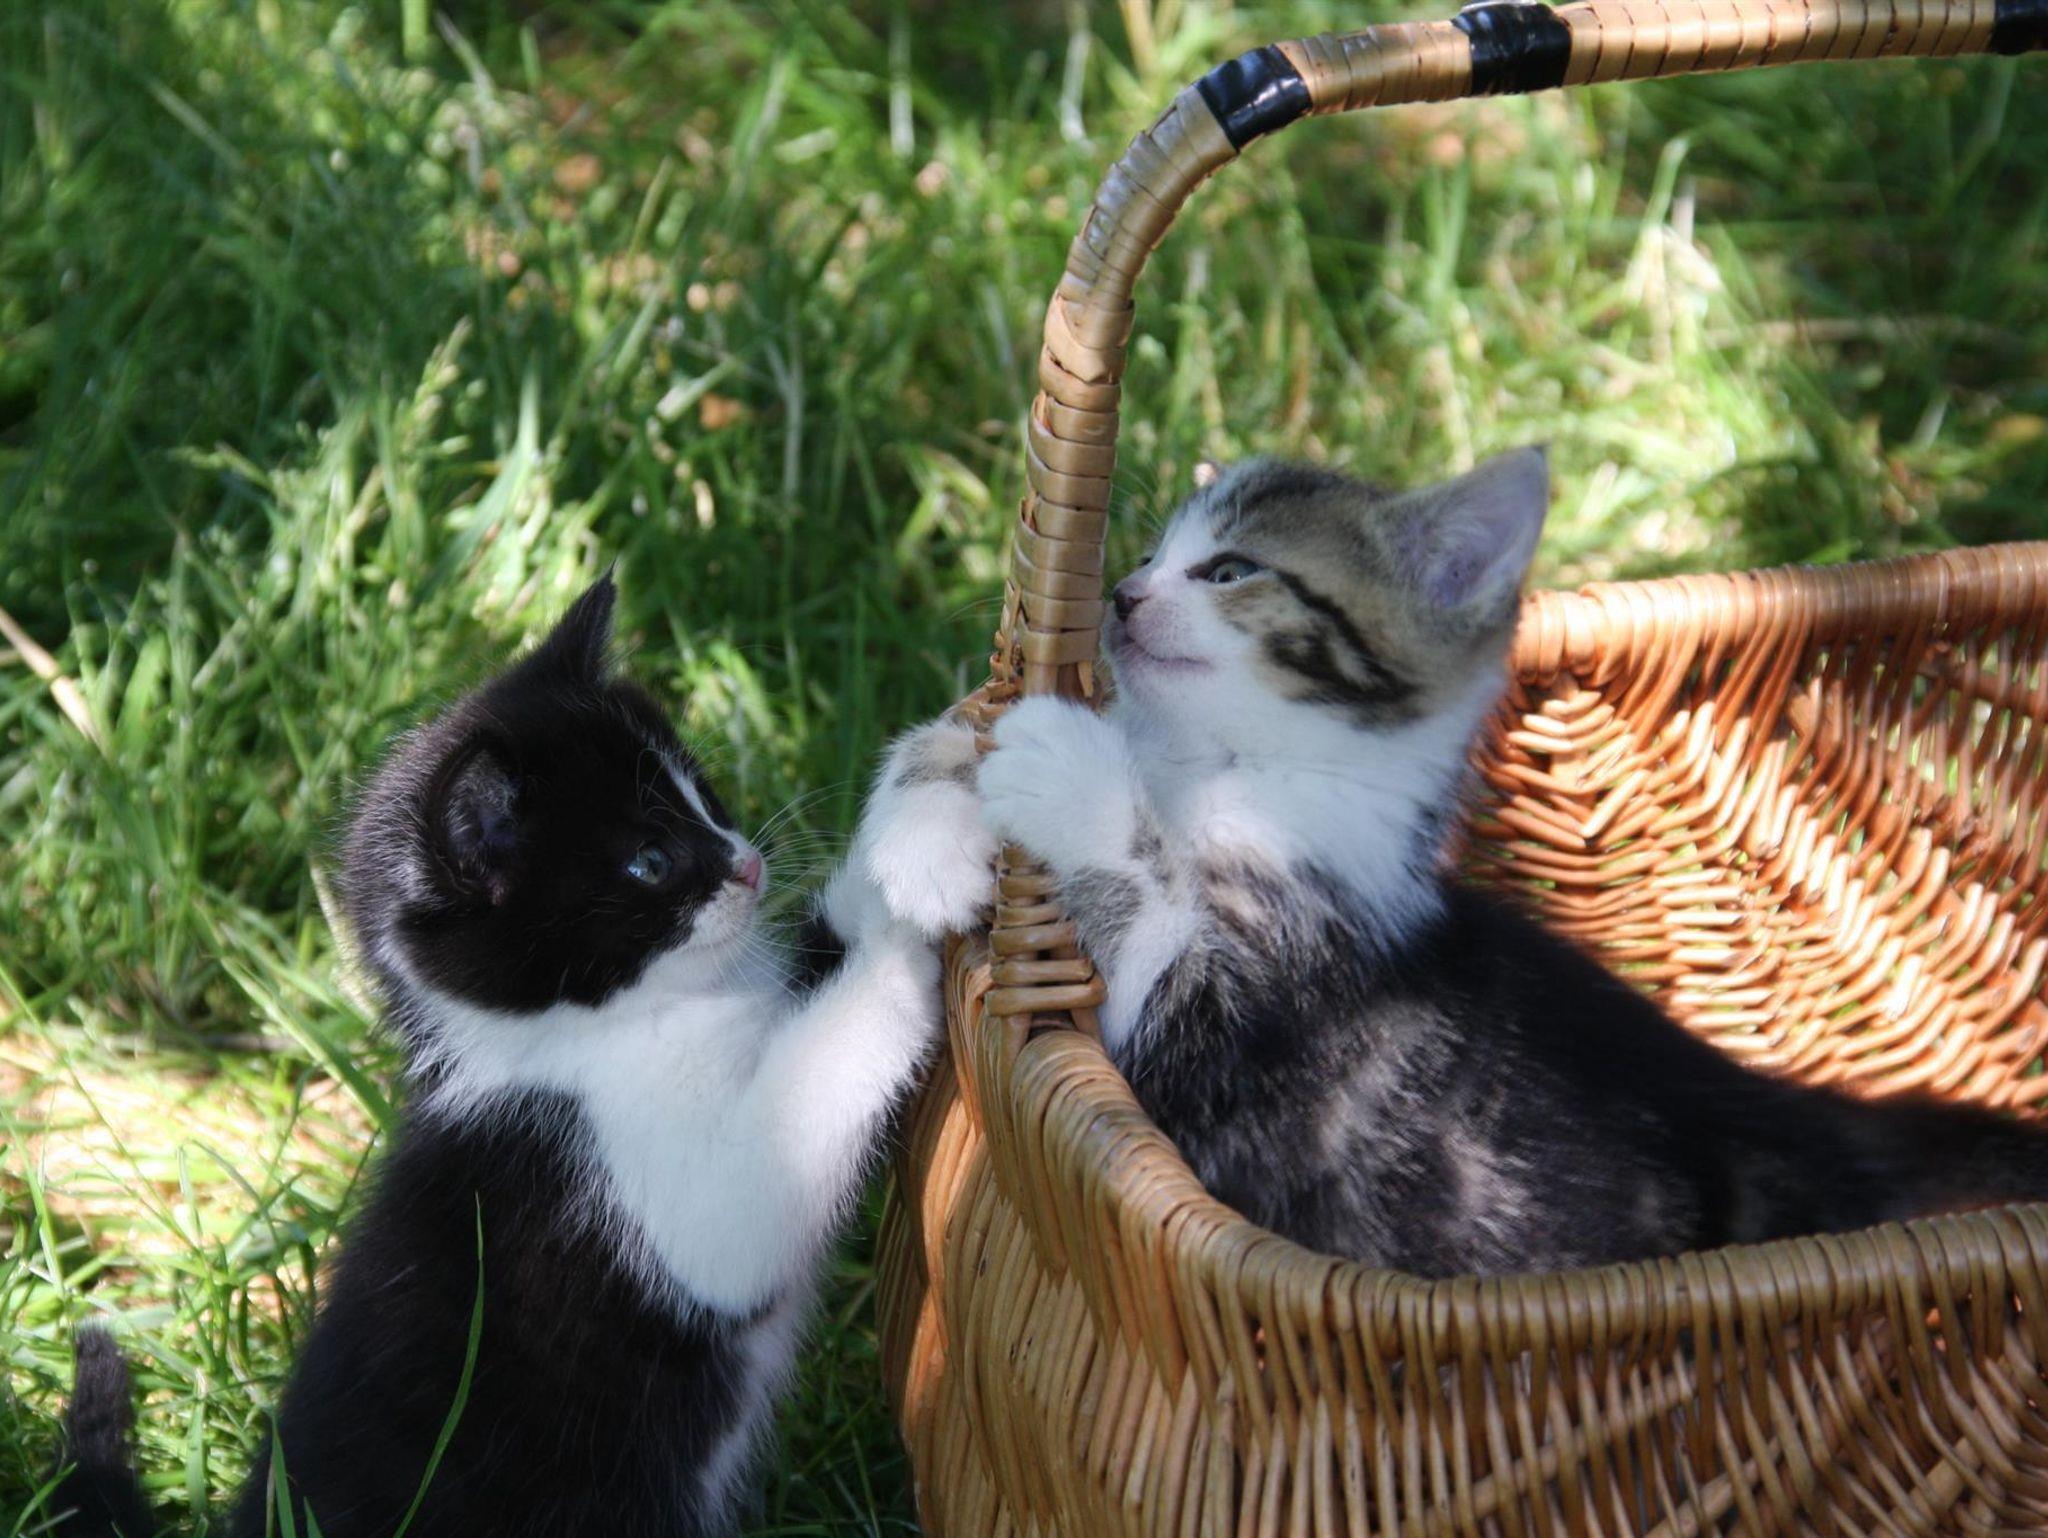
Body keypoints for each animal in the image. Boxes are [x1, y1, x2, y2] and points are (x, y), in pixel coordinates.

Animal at [50, 575, 993, 1538]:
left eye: (705, 795)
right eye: (649, 862)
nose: (748, 865)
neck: (618, 1024)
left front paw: (932, 800)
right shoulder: (625, 1187)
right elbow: (778, 1150)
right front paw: (908, 935)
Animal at [976, 450, 2048, 1278]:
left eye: (1231, 569)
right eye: (1150, 555)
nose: (1123, 596)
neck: (1221, 769)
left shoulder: (1246, 1053)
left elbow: (1156, 941)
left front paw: (1066, 767)